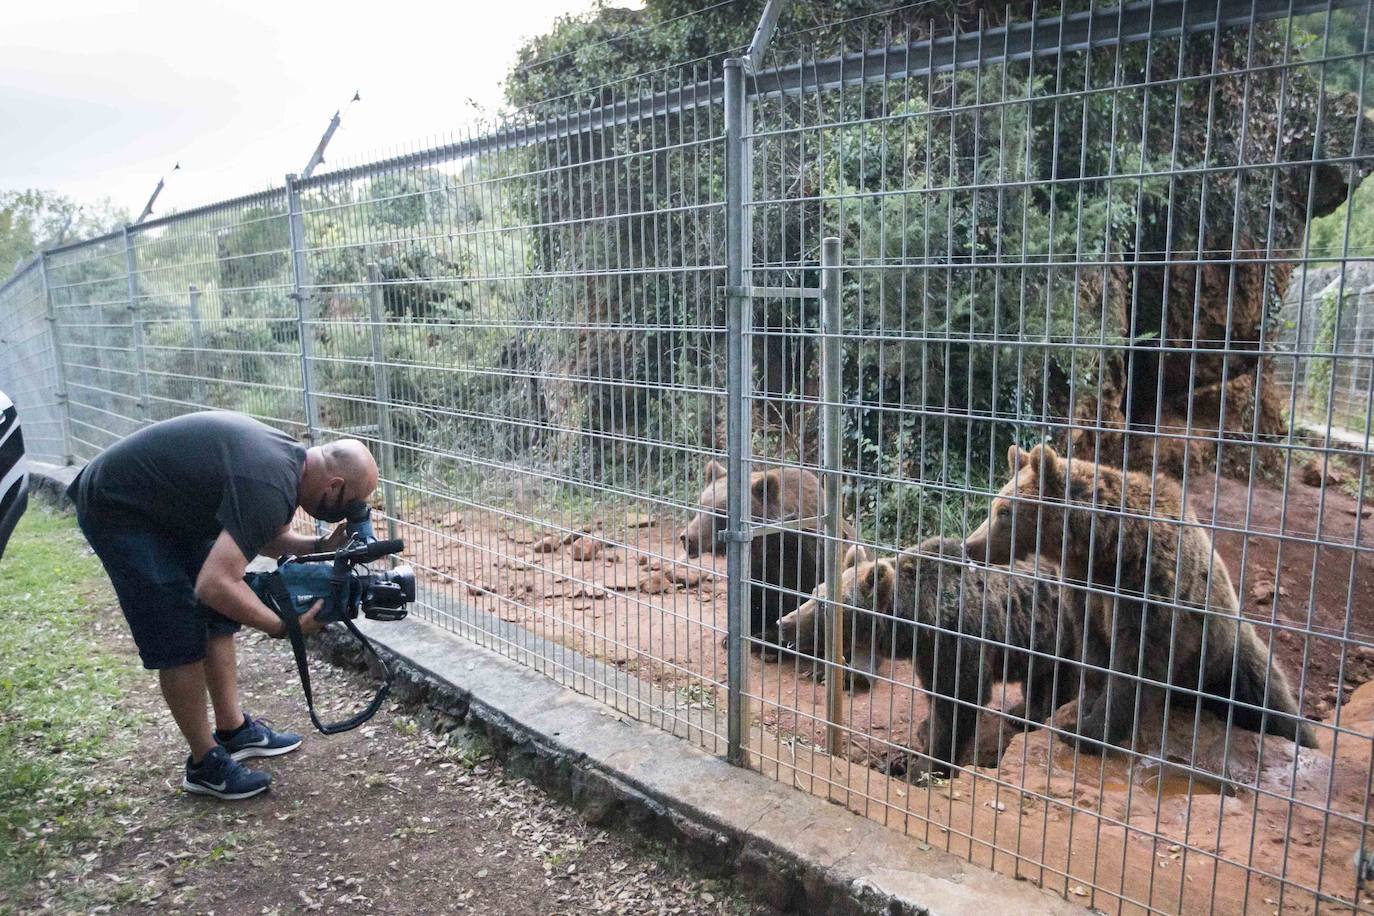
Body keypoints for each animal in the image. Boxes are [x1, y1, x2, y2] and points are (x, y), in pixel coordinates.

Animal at [678, 466, 857, 650]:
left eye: (720, 512)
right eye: (700, 506)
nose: (688, 538)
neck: (773, 543)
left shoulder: (808, 558)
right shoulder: (758, 566)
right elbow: (754, 598)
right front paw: (733, 637)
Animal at [780, 538, 1088, 780]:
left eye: (823, 606)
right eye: (813, 593)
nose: (784, 622)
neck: (921, 620)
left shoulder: (960, 642)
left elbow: (957, 703)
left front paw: (927, 767)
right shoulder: (930, 655)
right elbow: (938, 698)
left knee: (1063, 679)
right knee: (1037, 673)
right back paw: (1022, 713)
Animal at [961, 442, 1313, 752]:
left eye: (1004, 511)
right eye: (994, 505)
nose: (971, 545)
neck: (1107, 550)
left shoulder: (1150, 588)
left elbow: (1134, 663)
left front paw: (1087, 732)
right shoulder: (1085, 591)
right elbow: (1095, 653)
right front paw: (1084, 709)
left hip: (1229, 658)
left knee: (1272, 704)